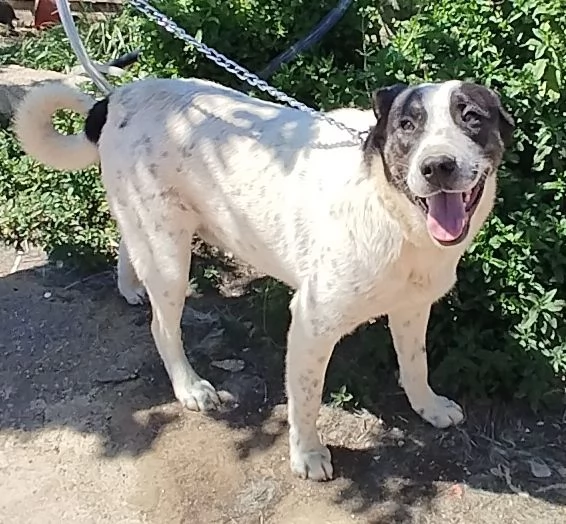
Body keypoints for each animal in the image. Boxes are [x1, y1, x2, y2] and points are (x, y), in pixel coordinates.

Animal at [15, 75, 516, 482]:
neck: (390, 208)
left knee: (128, 242)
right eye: (407, 126)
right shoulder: (312, 323)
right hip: (171, 258)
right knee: (162, 326)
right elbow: (307, 399)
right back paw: (189, 386)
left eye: (471, 118)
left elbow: (416, 364)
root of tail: (117, 96)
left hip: (150, 230)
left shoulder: (413, 306)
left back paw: (131, 285)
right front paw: (307, 455)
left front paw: (427, 406)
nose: (437, 166)